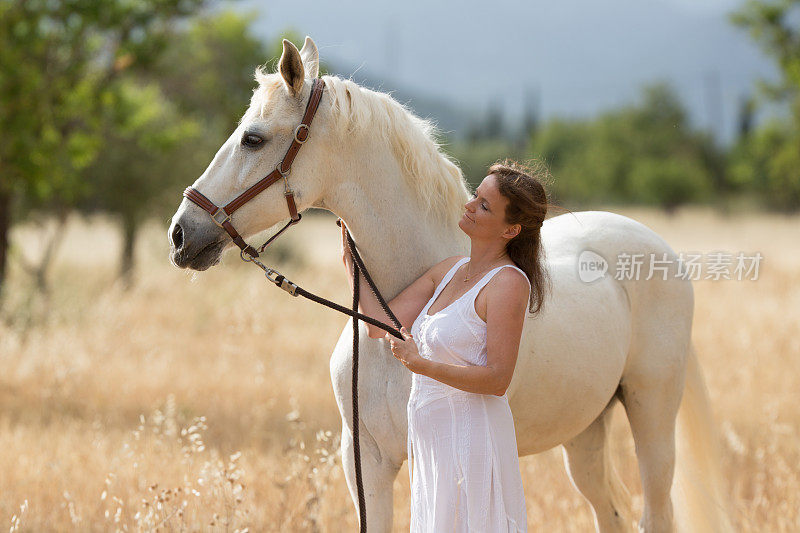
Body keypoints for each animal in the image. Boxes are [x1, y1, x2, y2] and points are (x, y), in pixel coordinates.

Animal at [169, 37, 732, 532]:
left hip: (652, 414)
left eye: (254, 137)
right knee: (610, 512)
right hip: (584, 431)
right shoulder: (365, 461)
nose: (180, 234)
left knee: (655, 512)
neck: (387, 326)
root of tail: (654, 247)